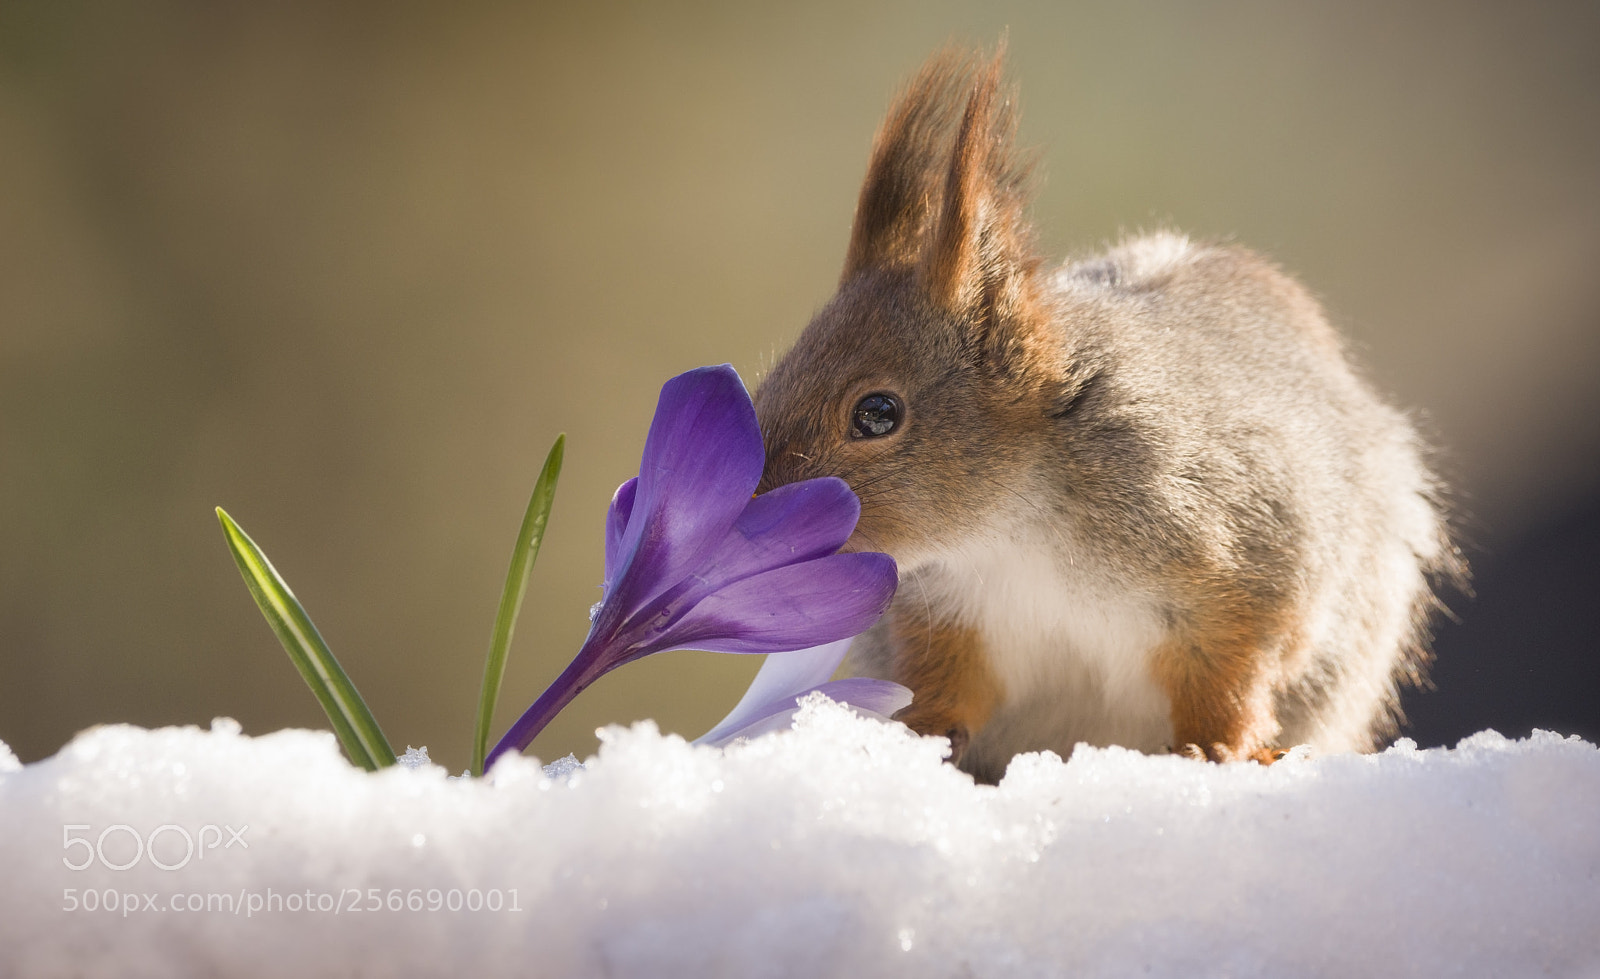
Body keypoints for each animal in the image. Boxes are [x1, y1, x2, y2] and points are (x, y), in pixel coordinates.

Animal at [753, 46, 1463, 782]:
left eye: (876, 413)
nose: (753, 504)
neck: (1012, 525)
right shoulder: (946, 614)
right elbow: (946, 685)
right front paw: (917, 736)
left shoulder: (1247, 554)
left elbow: (1237, 669)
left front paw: (1219, 746)